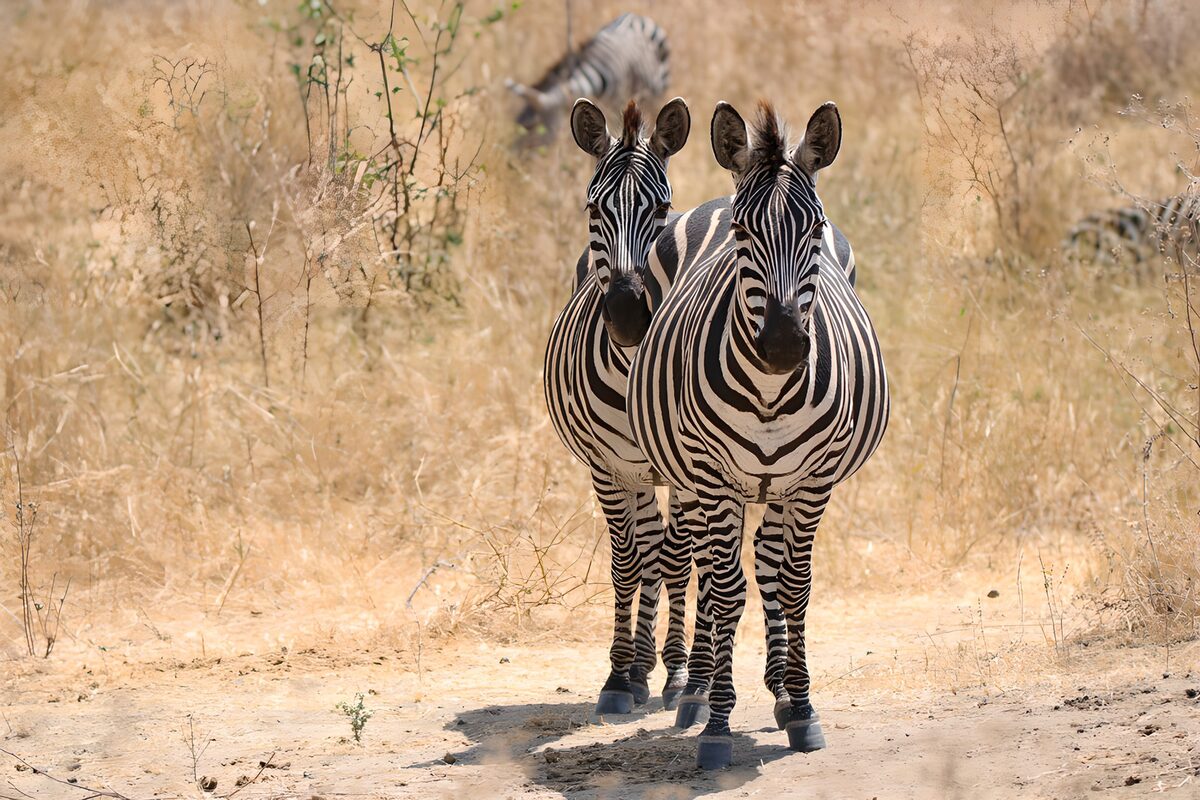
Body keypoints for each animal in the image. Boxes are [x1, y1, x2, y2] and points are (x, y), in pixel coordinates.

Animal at [627, 100, 890, 769]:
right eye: (744, 235)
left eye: (814, 231)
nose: (784, 346)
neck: (770, 393)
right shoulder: (715, 479)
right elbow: (723, 593)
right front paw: (717, 722)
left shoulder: (813, 481)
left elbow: (794, 586)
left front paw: (802, 706)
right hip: (692, 478)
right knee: (700, 568)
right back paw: (694, 691)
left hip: (778, 486)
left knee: (770, 564)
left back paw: (778, 688)